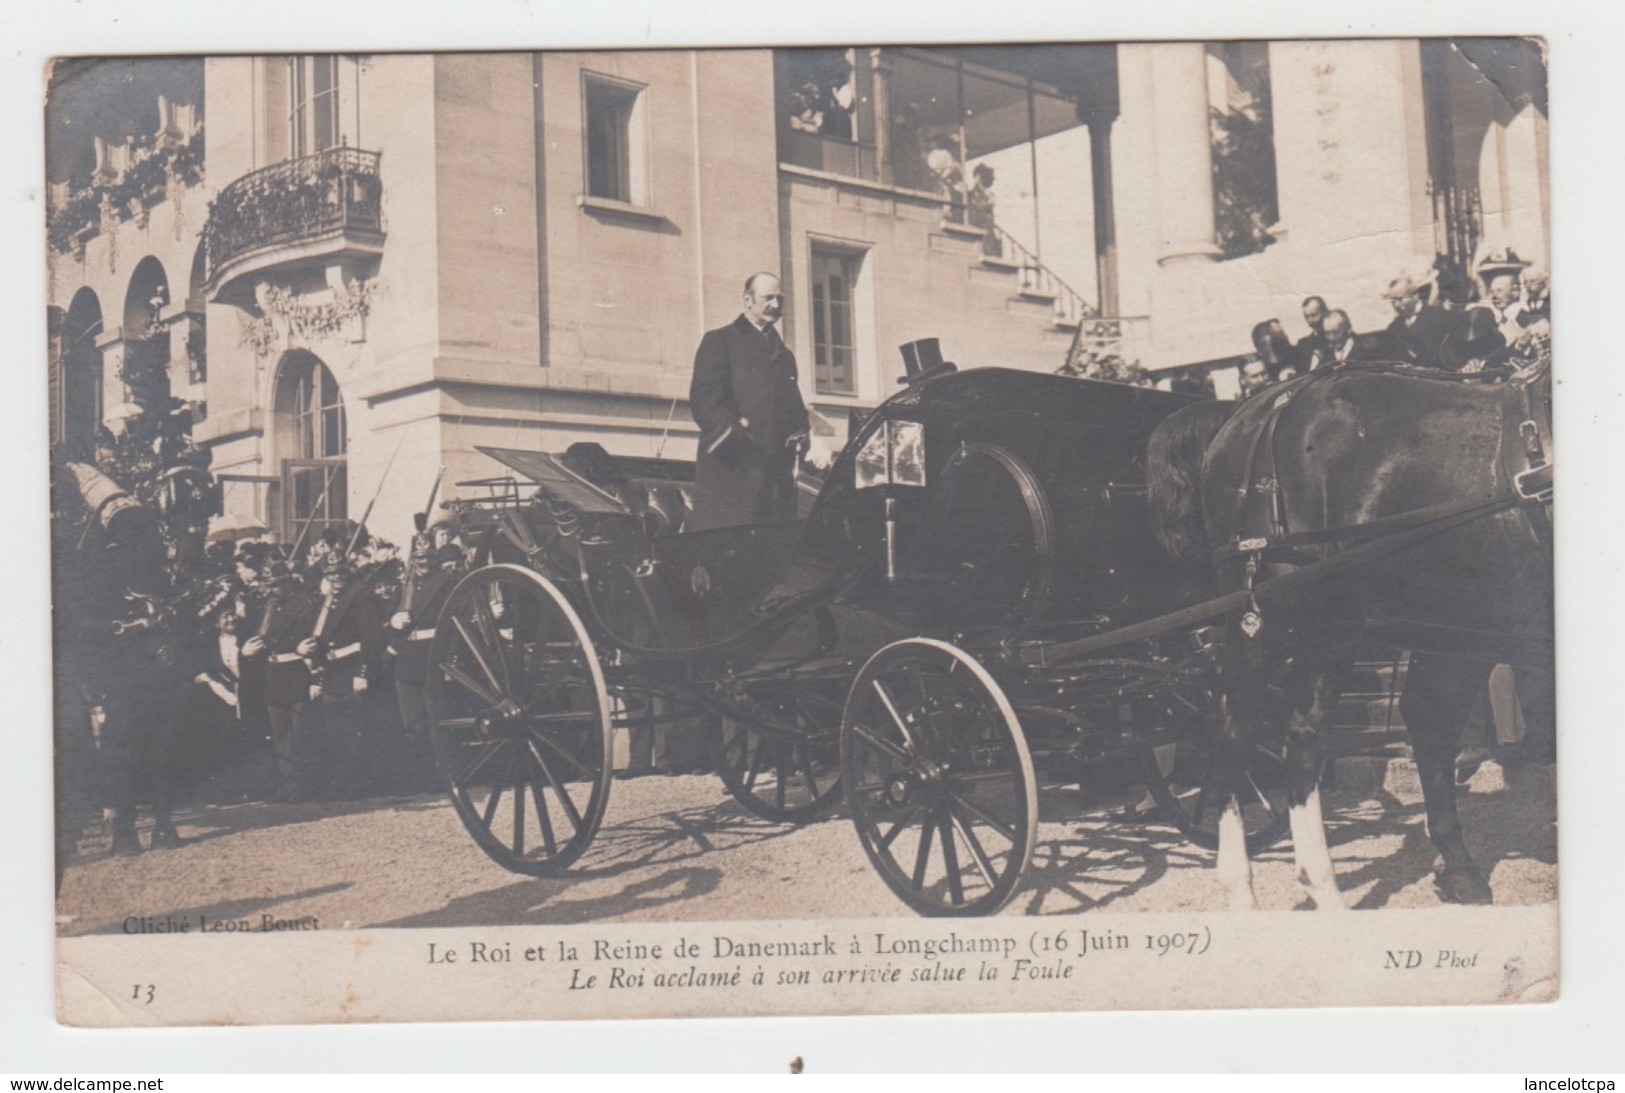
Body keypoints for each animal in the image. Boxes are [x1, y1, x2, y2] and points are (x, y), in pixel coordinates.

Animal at [1144, 362, 1547, 909]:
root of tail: (1249, 409)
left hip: (1365, 624)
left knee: (1314, 733)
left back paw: (1334, 888)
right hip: (1266, 622)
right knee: (1231, 731)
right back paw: (1242, 891)